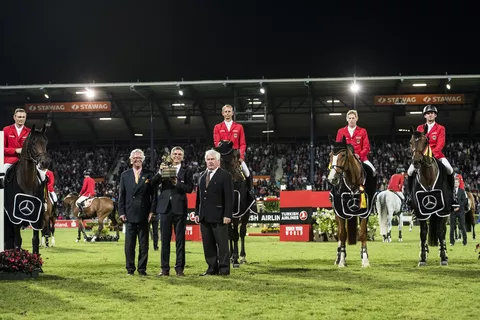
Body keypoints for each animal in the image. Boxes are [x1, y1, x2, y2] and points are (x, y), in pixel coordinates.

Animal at [3, 124, 50, 254]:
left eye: (46, 142)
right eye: (33, 142)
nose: (45, 163)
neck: (27, 181)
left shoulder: (37, 214)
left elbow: (35, 240)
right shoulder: (14, 215)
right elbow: (18, 240)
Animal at [328, 137, 376, 268]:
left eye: (343, 155)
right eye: (330, 156)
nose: (332, 179)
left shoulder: (365, 212)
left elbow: (363, 234)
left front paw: (365, 260)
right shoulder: (340, 211)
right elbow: (342, 235)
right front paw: (341, 260)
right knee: (340, 234)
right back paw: (338, 257)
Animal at [406, 126, 452, 266]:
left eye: (425, 142)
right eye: (410, 142)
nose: (416, 162)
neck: (428, 177)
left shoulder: (443, 211)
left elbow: (440, 233)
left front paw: (443, 258)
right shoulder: (421, 212)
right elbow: (423, 233)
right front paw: (422, 258)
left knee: (443, 231)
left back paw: (445, 252)